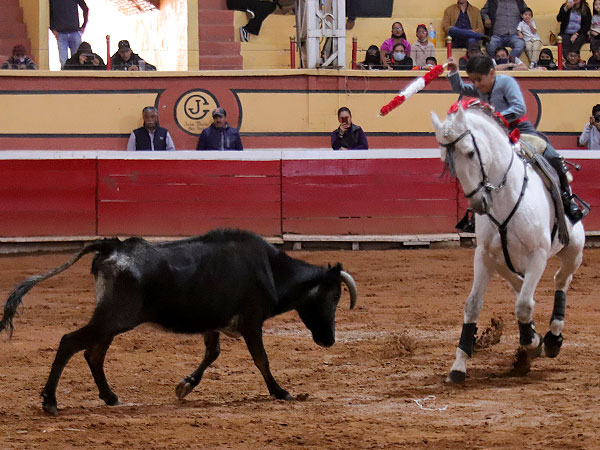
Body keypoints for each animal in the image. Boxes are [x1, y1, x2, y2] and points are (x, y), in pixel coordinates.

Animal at [0, 229, 357, 416]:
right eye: (333, 297)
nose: (329, 340)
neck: (270, 269)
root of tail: (114, 246)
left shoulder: (214, 324)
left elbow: (212, 354)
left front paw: (184, 386)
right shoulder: (251, 322)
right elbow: (261, 359)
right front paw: (280, 391)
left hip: (112, 320)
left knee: (93, 353)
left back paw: (110, 396)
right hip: (114, 317)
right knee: (71, 343)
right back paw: (50, 401)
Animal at [430, 100, 585, 383]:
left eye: (470, 152)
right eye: (446, 160)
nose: (478, 204)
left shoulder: (537, 256)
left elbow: (523, 306)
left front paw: (532, 343)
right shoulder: (483, 256)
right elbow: (473, 305)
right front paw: (459, 366)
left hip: (574, 250)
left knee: (561, 280)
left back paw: (553, 337)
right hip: (503, 261)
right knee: (519, 283)